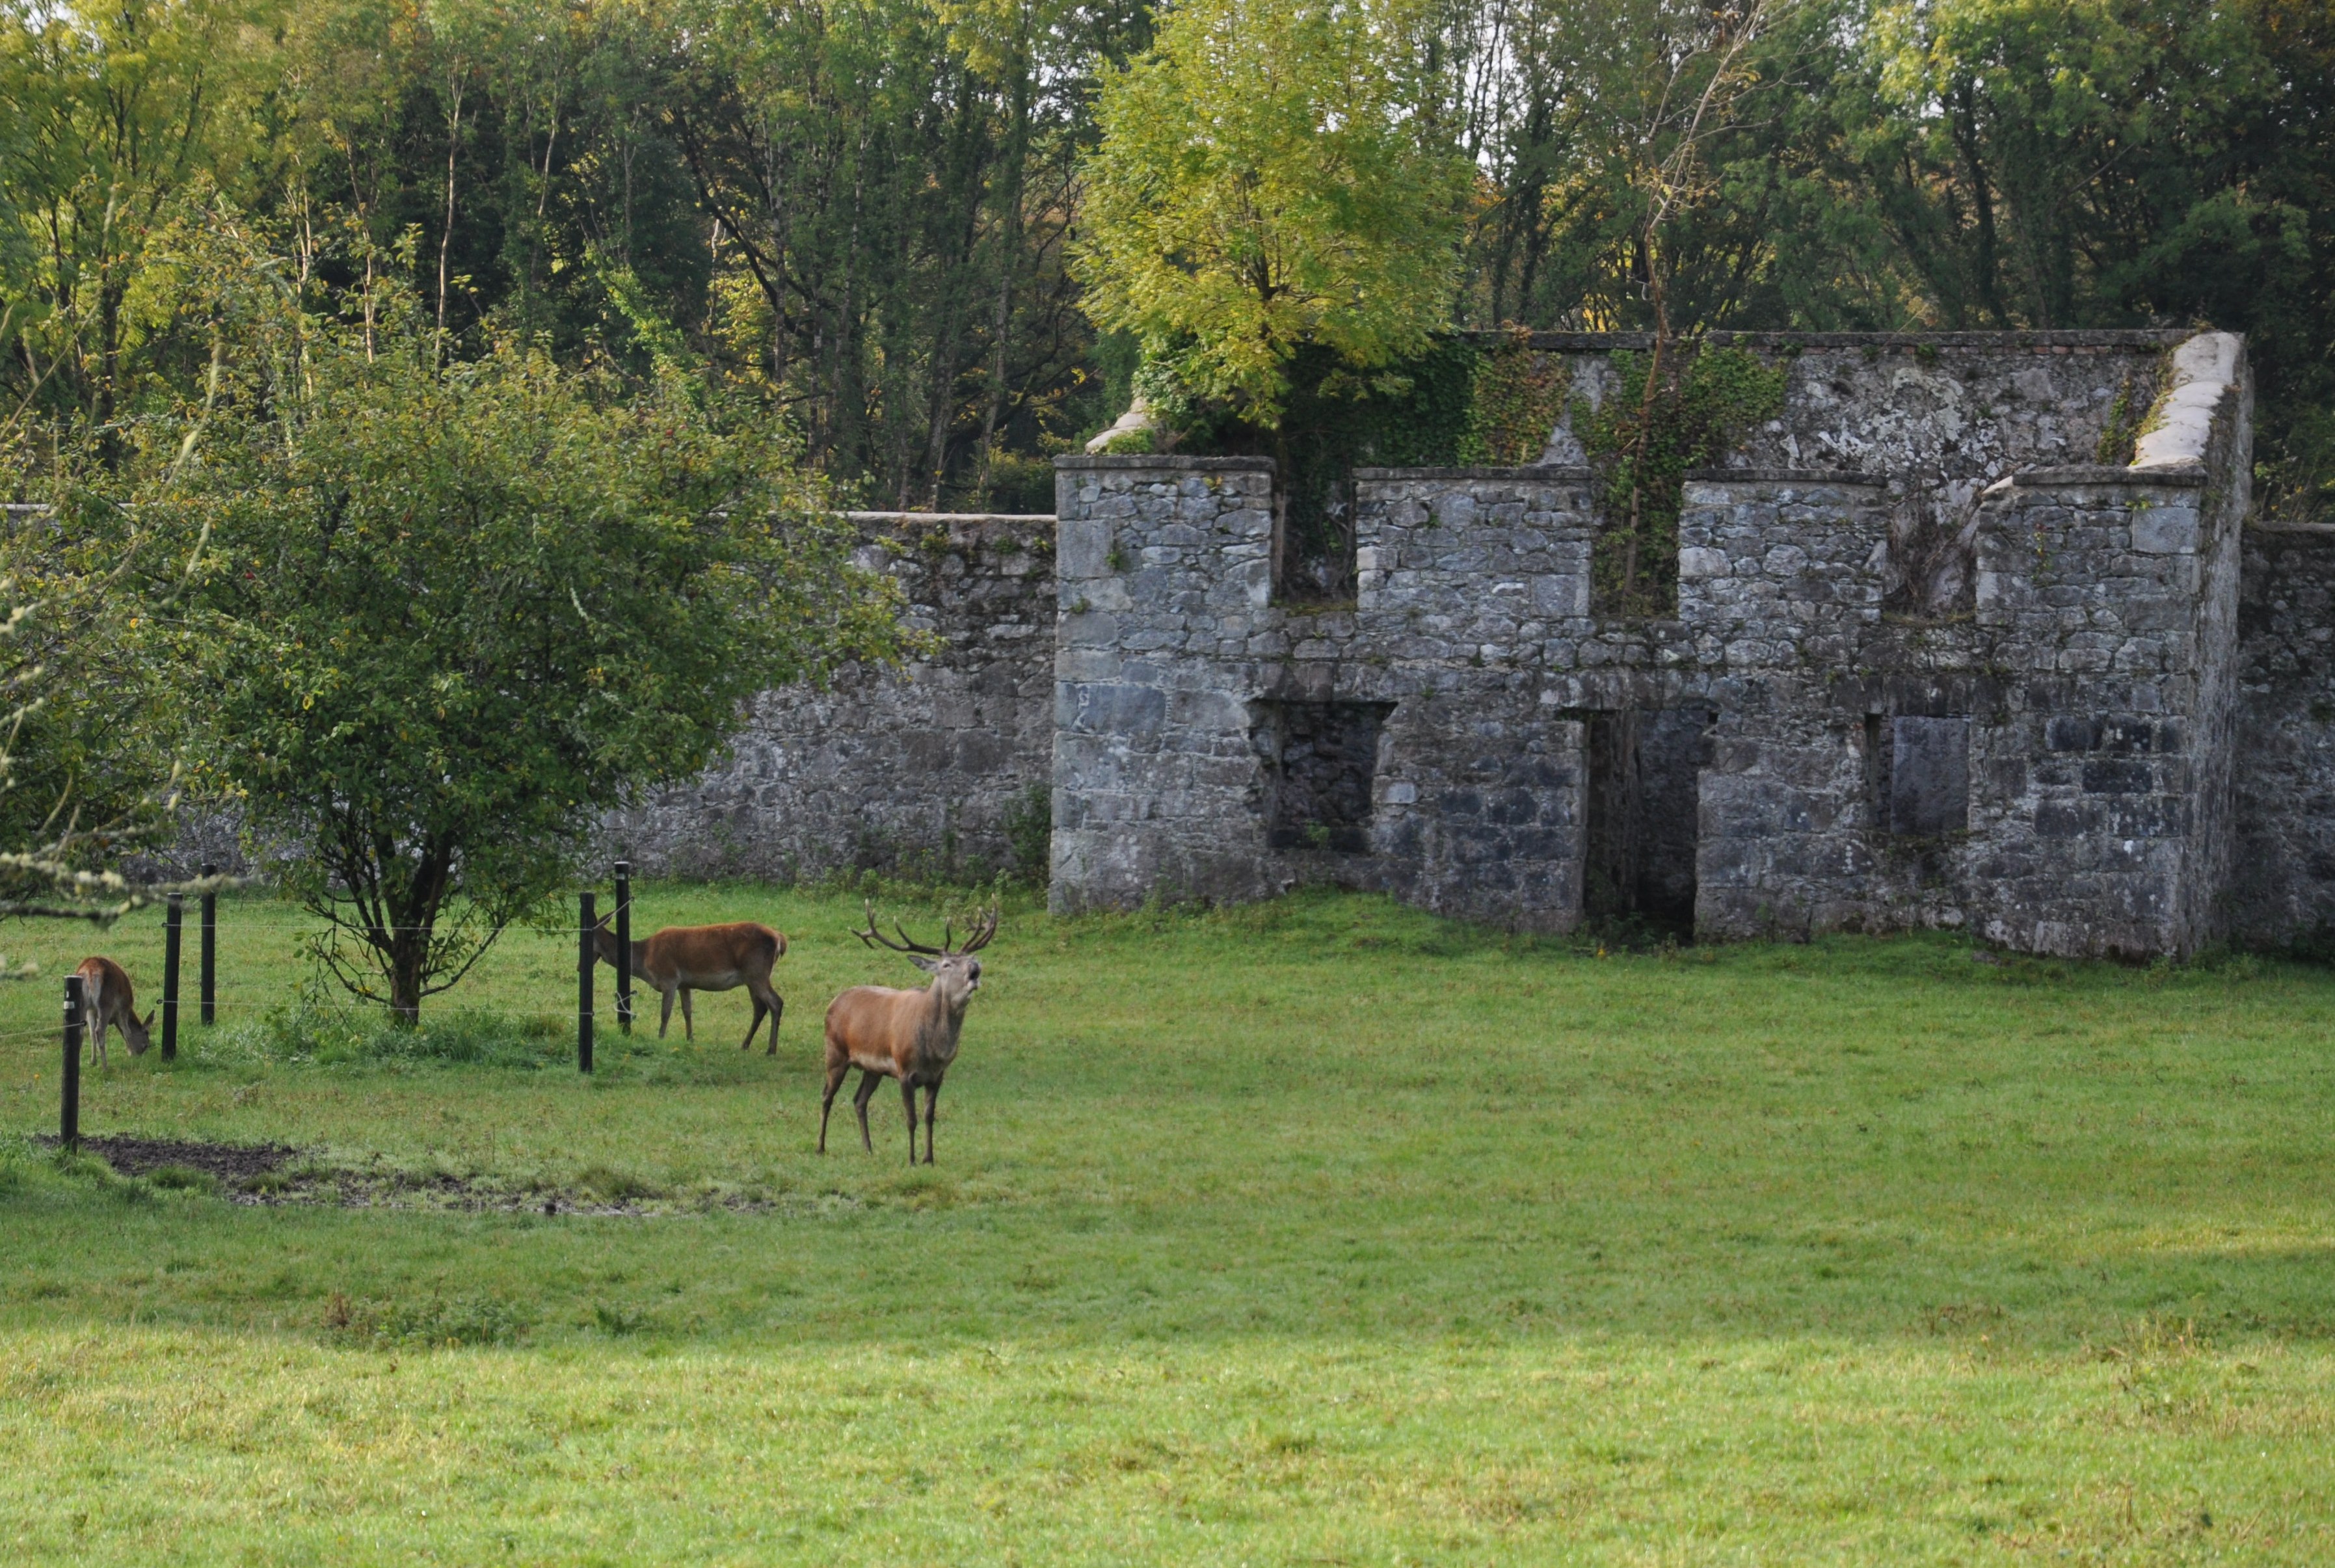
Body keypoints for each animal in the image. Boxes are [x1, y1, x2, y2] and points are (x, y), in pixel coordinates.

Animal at [72, 956, 153, 1064]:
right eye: (146, 1045)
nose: (140, 1054)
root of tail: (90, 972)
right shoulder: (123, 1008)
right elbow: (127, 1032)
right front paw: (133, 1055)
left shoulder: (91, 1010)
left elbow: (91, 1033)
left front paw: (93, 1061)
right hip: (105, 1003)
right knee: (99, 1031)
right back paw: (105, 1065)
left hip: (83, 1004)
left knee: (82, 1031)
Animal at [588, 919, 789, 1054]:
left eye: (585, 939)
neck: (645, 960)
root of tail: (780, 939)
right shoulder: (684, 984)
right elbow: (687, 1011)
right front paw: (690, 1039)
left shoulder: (669, 978)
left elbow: (665, 1013)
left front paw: (660, 1038)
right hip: (751, 978)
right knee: (760, 1008)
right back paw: (745, 1044)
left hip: (757, 972)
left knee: (776, 1002)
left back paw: (771, 1049)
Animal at [821, 905, 994, 1162]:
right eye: (946, 965)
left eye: (970, 960)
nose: (975, 970)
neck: (935, 1050)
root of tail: (833, 1002)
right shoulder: (904, 1071)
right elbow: (911, 1119)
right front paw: (912, 1160)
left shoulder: (937, 1076)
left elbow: (929, 1117)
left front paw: (929, 1159)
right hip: (835, 1053)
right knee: (827, 1096)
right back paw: (820, 1147)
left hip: (873, 1069)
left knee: (859, 1100)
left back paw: (868, 1148)